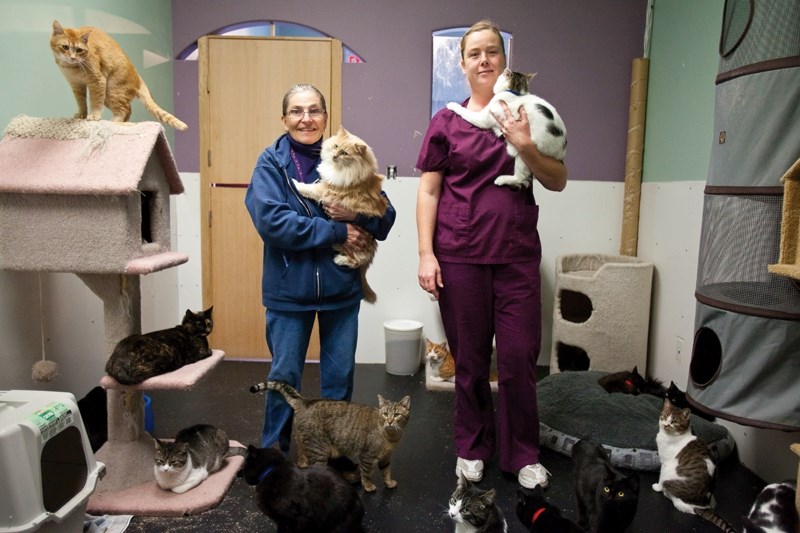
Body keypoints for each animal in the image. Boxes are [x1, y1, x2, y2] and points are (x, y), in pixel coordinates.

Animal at [49, 20, 188, 130]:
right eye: (65, 47)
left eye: (79, 50)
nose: (72, 58)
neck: (72, 68)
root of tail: (138, 76)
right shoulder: (77, 85)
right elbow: (81, 102)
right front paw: (82, 116)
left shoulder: (97, 81)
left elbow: (95, 102)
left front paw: (94, 116)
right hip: (109, 96)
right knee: (128, 110)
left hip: (112, 91)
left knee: (124, 110)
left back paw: (114, 123)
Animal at [250, 380, 412, 492]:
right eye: (385, 414)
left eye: (396, 415)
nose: (389, 421)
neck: (391, 437)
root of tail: (305, 401)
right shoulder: (366, 455)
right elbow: (366, 474)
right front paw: (368, 486)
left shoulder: (386, 458)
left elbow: (386, 472)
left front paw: (389, 483)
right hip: (319, 451)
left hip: (305, 446)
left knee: (302, 464)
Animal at [648, 396, 736, 528]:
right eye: (664, 416)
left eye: (674, 422)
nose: (665, 425)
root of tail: (703, 505)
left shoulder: (665, 463)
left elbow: (660, 478)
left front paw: (657, 487)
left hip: (670, 476)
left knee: (682, 505)